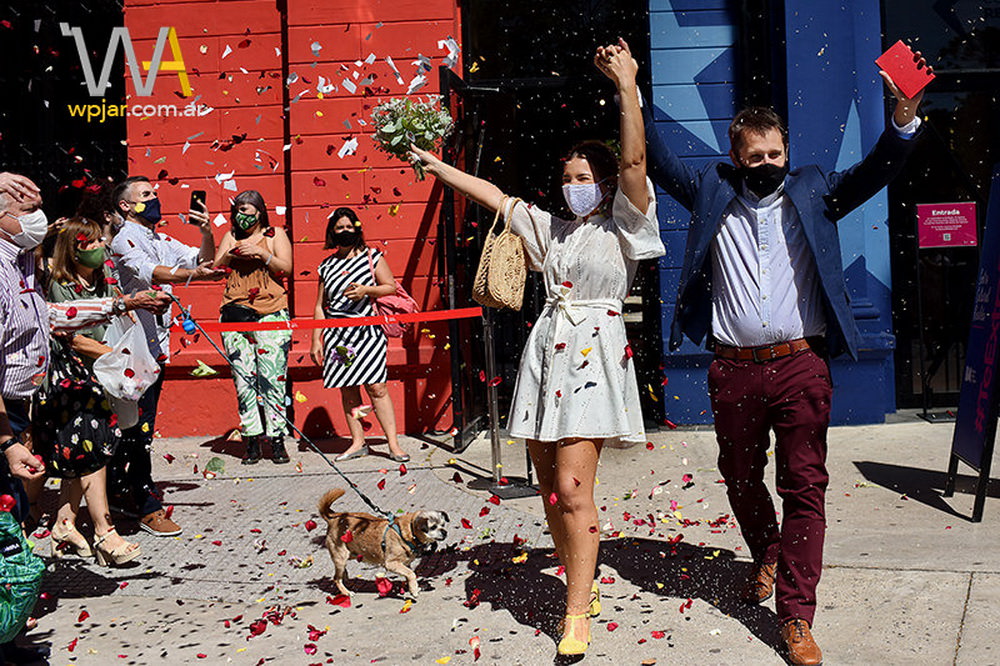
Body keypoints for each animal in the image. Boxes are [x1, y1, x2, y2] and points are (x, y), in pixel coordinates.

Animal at [316, 486, 450, 600]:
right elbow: (411, 574)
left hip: (349, 554)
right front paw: (414, 590)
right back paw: (346, 592)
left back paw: (347, 580)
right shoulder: (391, 563)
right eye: (433, 527)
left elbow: (409, 574)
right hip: (340, 557)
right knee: (336, 578)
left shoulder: (406, 564)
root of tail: (333, 517)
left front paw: (412, 587)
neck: (407, 531)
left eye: (443, 524)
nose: (445, 532)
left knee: (342, 573)